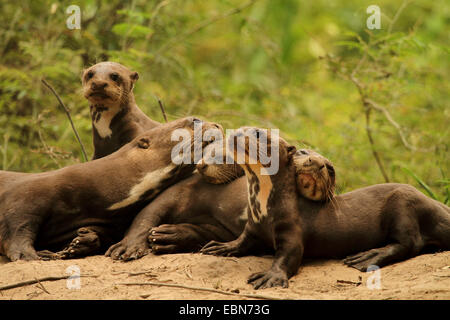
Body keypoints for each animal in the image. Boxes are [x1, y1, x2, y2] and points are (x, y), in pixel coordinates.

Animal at [103, 140, 332, 260]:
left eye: (227, 158)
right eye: (209, 150)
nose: (202, 164)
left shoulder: (225, 228)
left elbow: (206, 233)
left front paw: (170, 237)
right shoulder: (174, 193)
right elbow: (146, 216)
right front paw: (129, 246)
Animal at [202, 127, 450, 290]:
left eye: (258, 134)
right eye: (243, 128)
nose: (236, 133)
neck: (264, 207)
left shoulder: (291, 229)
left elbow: (290, 254)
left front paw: (271, 276)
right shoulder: (253, 226)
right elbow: (242, 240)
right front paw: (221, 246)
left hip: (404, 201)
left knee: (411, 242)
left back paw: (367, 257)